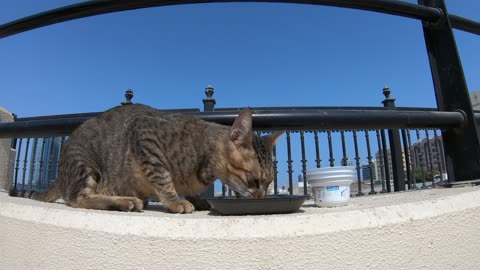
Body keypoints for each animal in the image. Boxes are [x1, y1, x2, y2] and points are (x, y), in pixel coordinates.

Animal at [31, 104, 282, 214]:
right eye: (255, 181)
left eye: (269, 183)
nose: (261, 198)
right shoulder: (146, 135)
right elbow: (163, 178)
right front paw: (175, 201)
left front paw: (196, 198)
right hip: (85, 163)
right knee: (78, 198)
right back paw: (124, 201)